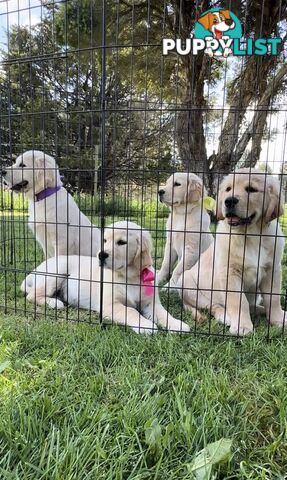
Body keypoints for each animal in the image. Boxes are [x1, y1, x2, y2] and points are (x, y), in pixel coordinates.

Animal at [20, 221, 191, 334]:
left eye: (122, 242)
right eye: (104, 240)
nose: (101, 255)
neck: (129, 276)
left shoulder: (151, 303)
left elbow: (164, 313)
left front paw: (178, 324)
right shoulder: (110, 305)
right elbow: (130, 311)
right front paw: (146, 325)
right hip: (57, 271)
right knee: (31, 295)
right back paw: (54, 302)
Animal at [180, 171, 286, 336]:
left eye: (251, 189)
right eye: (228, 189)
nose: (229, 201)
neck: (252, 236)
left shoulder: (272, 270)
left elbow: (273, 299)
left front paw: (278, 320)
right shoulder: (230, 273)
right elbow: (238, 301)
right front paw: (242, 326)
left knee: (252, 306)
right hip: (187, 285)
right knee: (213, 306)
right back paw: (226, 316)